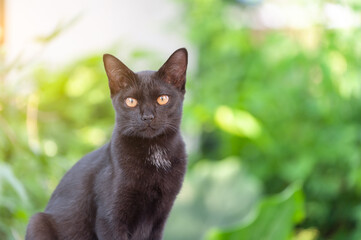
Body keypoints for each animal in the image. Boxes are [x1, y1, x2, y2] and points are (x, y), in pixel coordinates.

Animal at [25, 47, 188, 239]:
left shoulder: (159, 217)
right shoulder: (109, 219)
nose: (147, 117)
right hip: (37, 221)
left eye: (162, 99)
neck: (155, 152)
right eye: (131, 101)